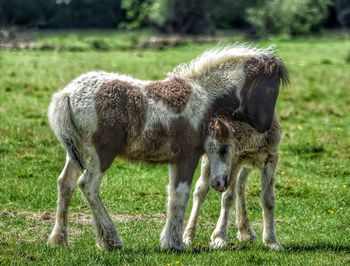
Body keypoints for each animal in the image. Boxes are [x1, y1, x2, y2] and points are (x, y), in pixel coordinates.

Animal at [183, 116, 284, 249]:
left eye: (224, 150)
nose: (216, 184)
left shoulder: (271, 155)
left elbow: (268, 199)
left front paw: (272, 242)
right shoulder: (235, 160)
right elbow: (228, 197)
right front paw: (219, 239)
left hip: (246, 165)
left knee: (241, 184)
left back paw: (247, 232)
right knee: (201, 189)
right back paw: (187, 237)